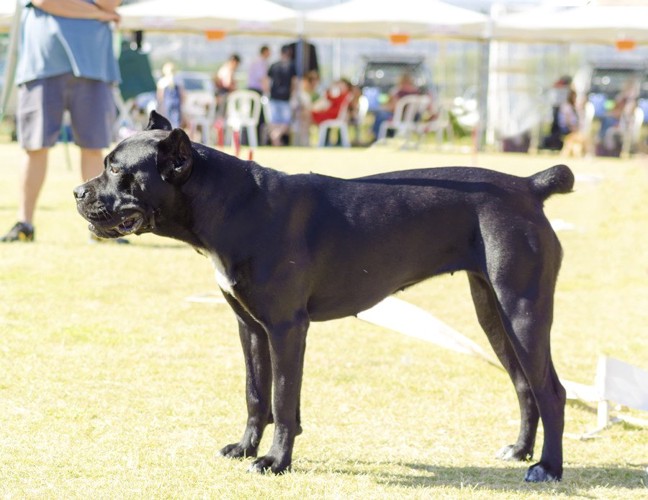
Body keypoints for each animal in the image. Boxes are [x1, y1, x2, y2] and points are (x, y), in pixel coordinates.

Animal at [73, 112, 576, 480]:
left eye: (117, 170)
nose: (77, 191)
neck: (232, 205)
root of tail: (528, 186)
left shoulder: (285, 328)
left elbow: (280, 397)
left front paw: (275, 462)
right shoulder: (250, 327)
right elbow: (256, 394)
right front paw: (246, 448)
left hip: (523, 312)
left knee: (551, 390)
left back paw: (547, 468)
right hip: (492, 313)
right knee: (524, 385)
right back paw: (520, 451)